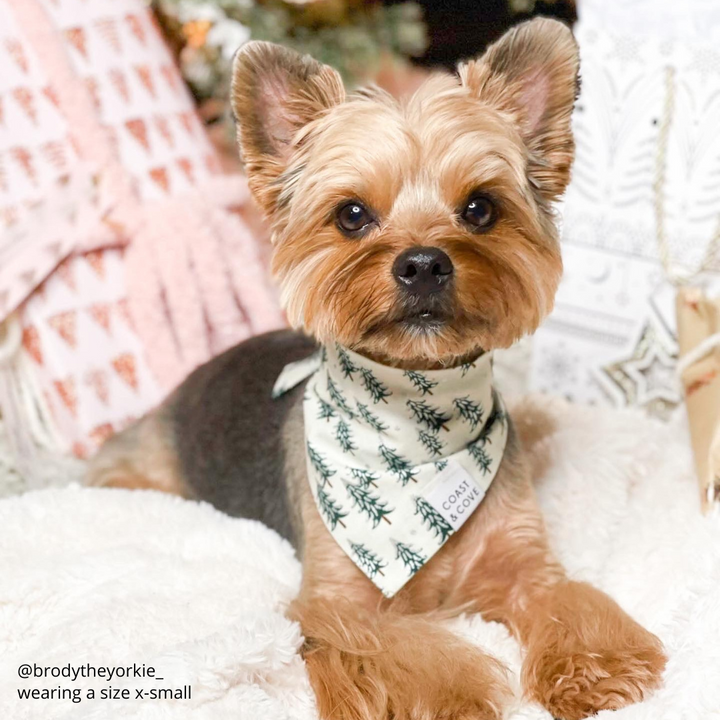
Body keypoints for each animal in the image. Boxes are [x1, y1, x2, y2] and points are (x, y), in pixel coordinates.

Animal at [88, 16, 664, 720]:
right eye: (352, 214)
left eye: (480, 208)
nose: (423, 262)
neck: (418, 431)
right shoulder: (338, 604)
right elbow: (404, 656)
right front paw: (453, 697)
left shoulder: (522, 560)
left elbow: (563, 598)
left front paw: (594, 667)